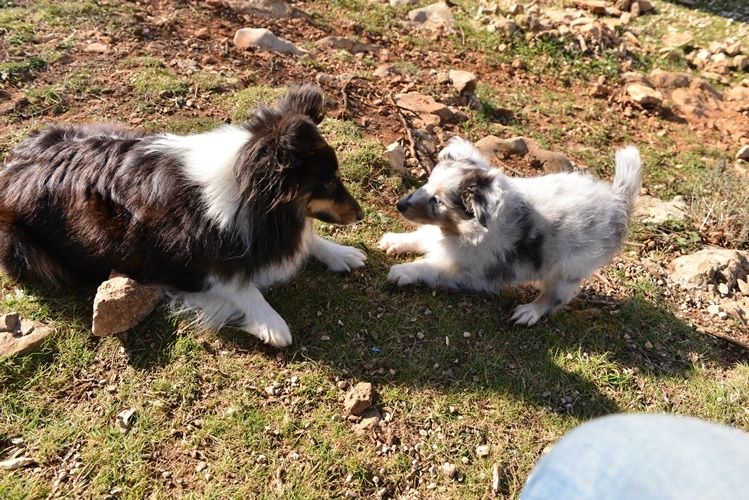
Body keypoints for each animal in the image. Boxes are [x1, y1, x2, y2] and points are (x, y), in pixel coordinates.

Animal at [0, 84, 366, 346]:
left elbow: (308, 236)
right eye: (329, 181)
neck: (243, 187)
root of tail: (15, 159)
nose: (362, 215)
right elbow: (242, 286)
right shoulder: (181, 265)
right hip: (21, 246)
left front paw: (340, 252)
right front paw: (272, 323)